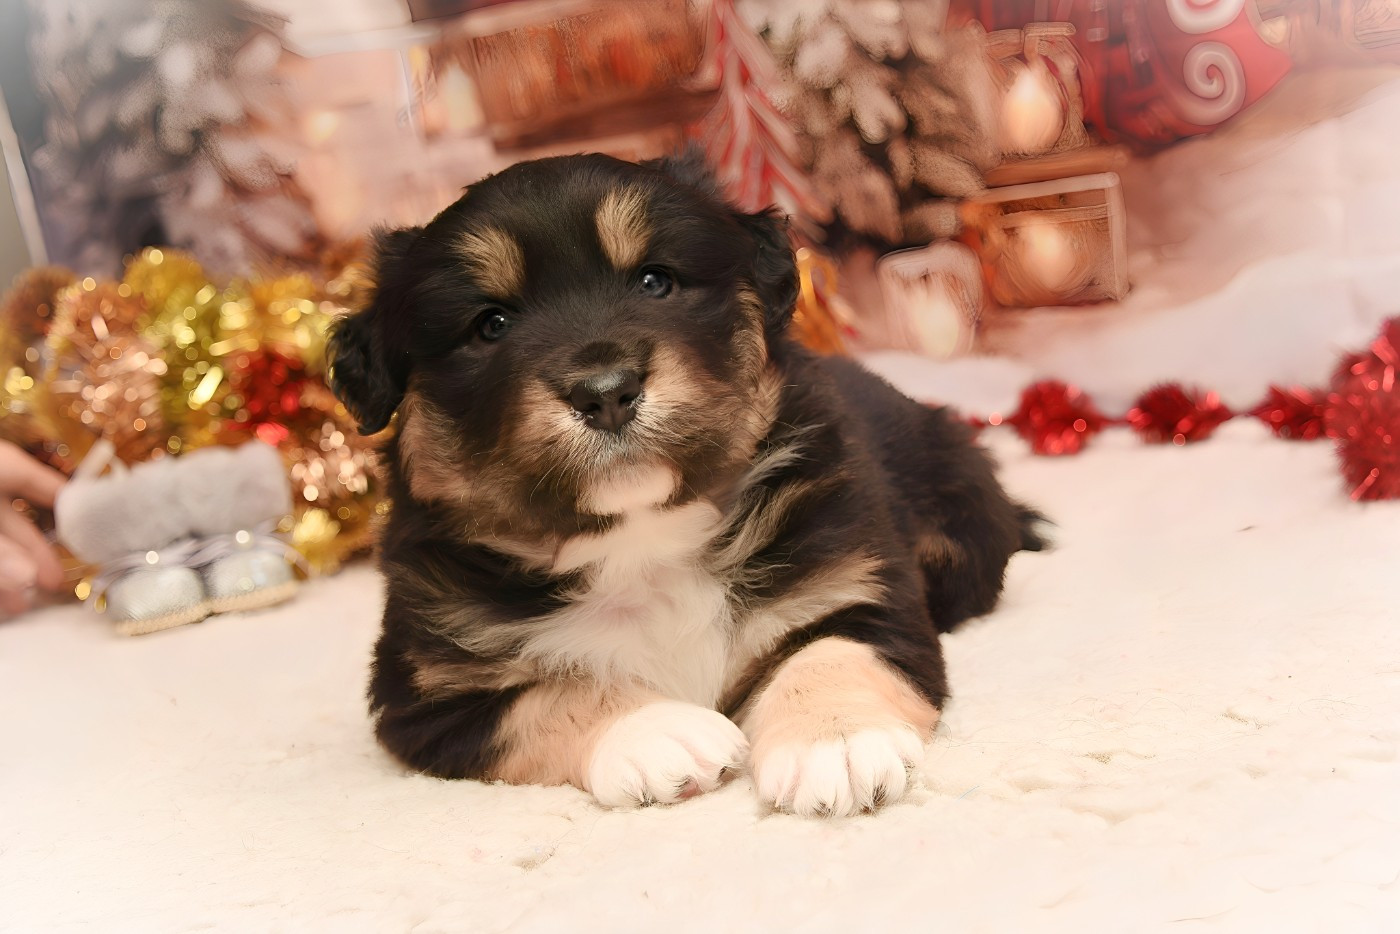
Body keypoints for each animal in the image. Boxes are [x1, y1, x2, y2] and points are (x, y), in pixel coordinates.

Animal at [328, 151, 1044, 816]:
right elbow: (547, 695)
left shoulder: (856, 582)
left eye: (655, 281)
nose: (606, 393)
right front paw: (657, 732)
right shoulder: (427, 688)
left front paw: (833, 742)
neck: (641, 540)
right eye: (491, 325)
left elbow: (831, 650)